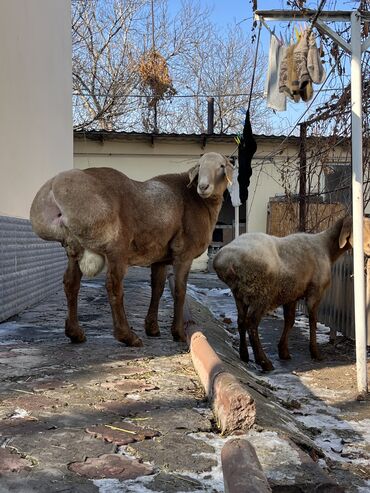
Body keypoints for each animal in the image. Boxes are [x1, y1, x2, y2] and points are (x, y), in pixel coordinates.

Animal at [212, 217, 370, 370]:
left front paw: (283, 351)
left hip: (240, 295)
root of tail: (225, 261)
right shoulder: (315, 291)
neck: (327, 248)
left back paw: (244, 355)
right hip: (260, 293)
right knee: (251, 324)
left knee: (241, 321)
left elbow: (290, 321)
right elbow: (313, 320)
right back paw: (264, 362)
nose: (369, 248)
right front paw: (315, 353)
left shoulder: (292, 294)